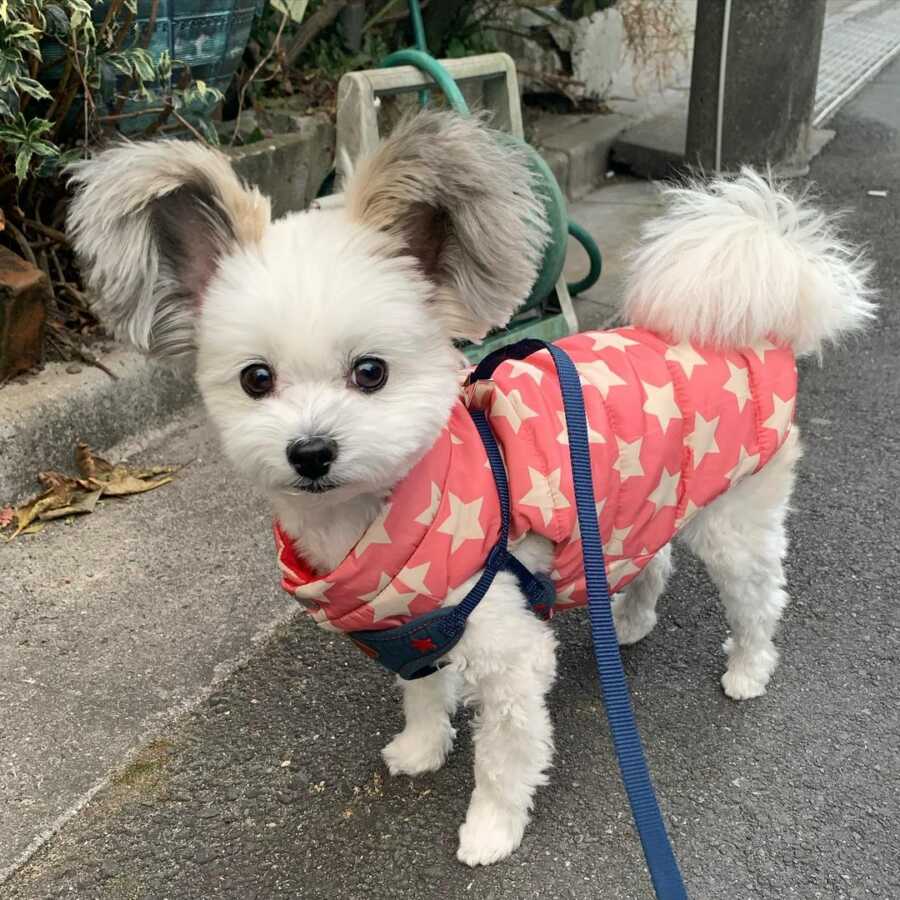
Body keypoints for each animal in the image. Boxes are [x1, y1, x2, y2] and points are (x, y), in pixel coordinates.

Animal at [67, 110, 876, 864]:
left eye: (370, 372)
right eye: (255, 379)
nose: (311, 451)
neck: (382, 517)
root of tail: (755, 319)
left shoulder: (508, 650)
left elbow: (505, 755)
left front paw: (491, 828)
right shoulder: (412, 625)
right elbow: (424, 696)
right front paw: (422, 749)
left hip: (734, 519)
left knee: (757, 595)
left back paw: (748, 669)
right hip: (633, 503)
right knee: (653, 555)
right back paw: (631, 621)